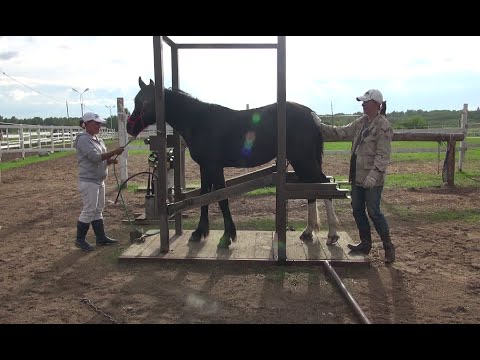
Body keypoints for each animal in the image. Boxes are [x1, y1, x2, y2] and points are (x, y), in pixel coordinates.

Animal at [127, 77, 338, 249]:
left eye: (145, 101)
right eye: (135, 100)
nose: (129, 127)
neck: (200, 121)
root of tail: (311, 114)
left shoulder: (215, 167)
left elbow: (221, 198)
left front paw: (226, 236)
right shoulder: (205, 167)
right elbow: (205, 196)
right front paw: (199, 232)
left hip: (303, 160)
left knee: (324, 185)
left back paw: (332, 234)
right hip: (300, 162)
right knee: (312, 189)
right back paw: (309, 231)